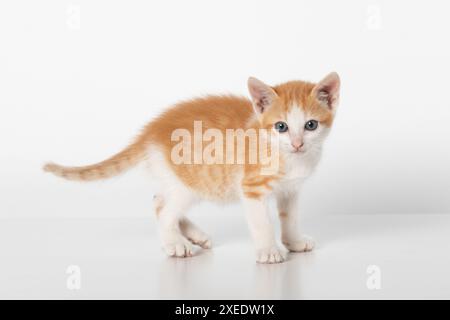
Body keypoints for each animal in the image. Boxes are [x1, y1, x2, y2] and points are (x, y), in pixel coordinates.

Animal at [44, 73, 342, 264]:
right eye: (281, 126)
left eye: (311, 125)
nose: (297, 143)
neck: (288, 157)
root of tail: (150, 132)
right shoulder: (252, 188)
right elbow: (262, 222)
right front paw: (269, 250)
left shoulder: (291, 190)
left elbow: (289, 217)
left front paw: (293, 242)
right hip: (189, 181)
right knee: (164, 209)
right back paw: (175, 244)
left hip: (181, 180)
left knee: (158, 199)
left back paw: (194, 236)